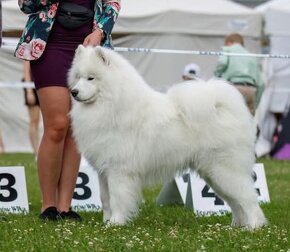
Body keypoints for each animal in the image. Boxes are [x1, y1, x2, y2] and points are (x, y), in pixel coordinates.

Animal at [68, 44, 268, 228]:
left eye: (91, 78)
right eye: (78, 77)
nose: (74, 92)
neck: (112, 104)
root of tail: (223, 107)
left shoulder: (119, 170)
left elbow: (117, 198)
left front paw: (116, 223)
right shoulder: (104, 170)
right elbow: (105, 198)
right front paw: (106, 223)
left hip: (224, 170)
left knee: (248, 197)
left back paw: (254, 226)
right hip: (213, 175)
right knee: (235, 202)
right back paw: (237, 226)